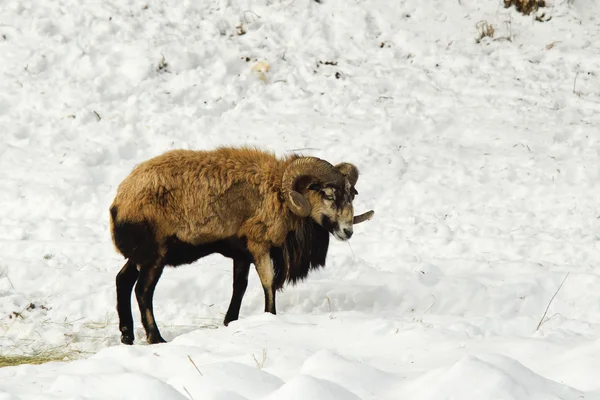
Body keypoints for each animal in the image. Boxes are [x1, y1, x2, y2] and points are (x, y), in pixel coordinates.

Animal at [107, 146, 370, 344]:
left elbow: (239, 287)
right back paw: (156, 338)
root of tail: (119, 203)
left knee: (122, 280)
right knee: (142, 291)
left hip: (140, 256)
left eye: (351, 195)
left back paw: (127, 336)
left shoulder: (241, 255)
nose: (347, 231)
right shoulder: (259, 244)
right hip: (155, 256)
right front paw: (270, 317)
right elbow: (268, 283)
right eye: (328, 194)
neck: (278, 193)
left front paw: (229, 321)